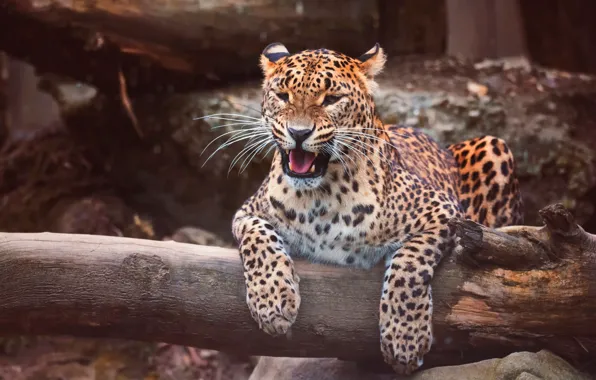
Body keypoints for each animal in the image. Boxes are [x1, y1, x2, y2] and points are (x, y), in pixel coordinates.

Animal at [230, 42, 524, 374]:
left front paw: (405, 337)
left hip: (494, 146)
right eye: (282, 96)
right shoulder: (248, 212)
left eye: (331, 99)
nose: (299, 132)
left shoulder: (442, 211)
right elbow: (259, 240)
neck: (318, 197)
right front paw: (273, 301)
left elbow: (409, 265)